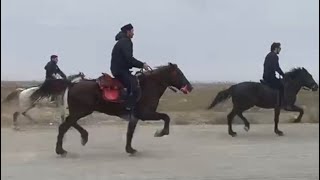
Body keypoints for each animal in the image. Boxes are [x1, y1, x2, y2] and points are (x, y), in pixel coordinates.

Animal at [55, 62, 192, 155]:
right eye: (179, 73)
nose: (190, 87)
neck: (148, 86)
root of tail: (73, 84)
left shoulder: (134, 117)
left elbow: (130, 133)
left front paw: (130, 149)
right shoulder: (145, 114)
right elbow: (166, 117)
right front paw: (161, 132)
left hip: (79, 111)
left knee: (69, 123)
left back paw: (82, 137)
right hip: (81, 111)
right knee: (64, 126)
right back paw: (61, 150)